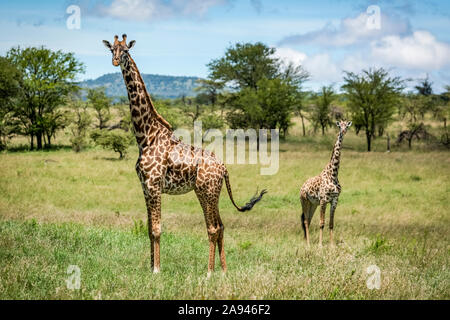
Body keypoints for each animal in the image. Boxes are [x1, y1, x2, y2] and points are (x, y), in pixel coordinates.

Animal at [103, 34, 266, 276]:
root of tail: (224, 168)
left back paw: (209, 273)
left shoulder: (153, 185)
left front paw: (157, 270)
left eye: (125, 51)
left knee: (212, 227)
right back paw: (224, 271)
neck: (146, 136)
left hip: (205, 191)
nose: (115, 61)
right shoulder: (145, 187)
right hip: (211, 193)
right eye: (111, 49)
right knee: (221, 225)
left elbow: (157, 229)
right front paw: (150, 266)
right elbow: (149, 228)